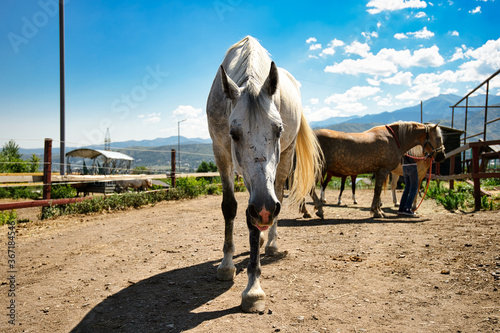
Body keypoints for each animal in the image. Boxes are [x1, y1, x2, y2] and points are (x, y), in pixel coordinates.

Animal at [206, 36, 320, 312]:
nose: (266, 208)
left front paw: (253, 288)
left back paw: (271, 244)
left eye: (278, 130)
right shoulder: (221, 152)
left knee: (277, 192)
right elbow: (230, 207)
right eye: (234, 134)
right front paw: (226, 265)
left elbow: (253, 222)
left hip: (286, 159)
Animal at [308, 121, 446, 218]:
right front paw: (376, 212)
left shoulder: (379, 171)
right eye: (438, 138)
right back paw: (319, 210)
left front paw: (378, 210)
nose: (442, 156)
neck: (394, 139)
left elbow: (377, 191)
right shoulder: (383, 171)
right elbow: (378, 191)